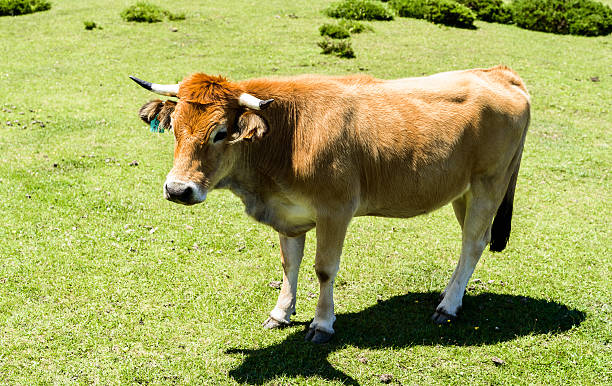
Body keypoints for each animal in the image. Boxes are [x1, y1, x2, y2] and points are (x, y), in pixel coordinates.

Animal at [130, 66, 532, 344]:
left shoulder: (336, 210)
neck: (287, 136)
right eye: (175, 127)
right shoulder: (288, 213)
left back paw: (447, 306)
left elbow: (324, 269)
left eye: (221, 133)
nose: (178, 189)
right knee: (475, 240)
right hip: (463, 191)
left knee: (473, 243)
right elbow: (289, 263)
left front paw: (322, 324)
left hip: (489, 183)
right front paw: (281, 313)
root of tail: (499, 72)